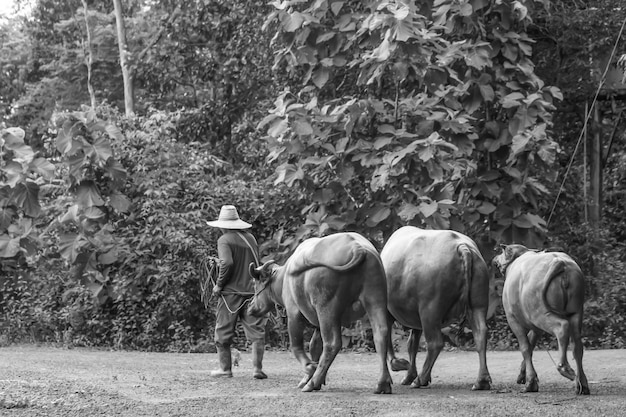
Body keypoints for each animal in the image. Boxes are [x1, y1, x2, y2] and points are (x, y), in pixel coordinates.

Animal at [247, 232, 398, 392]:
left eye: (255, 284)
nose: (250, 306)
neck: (284, 278)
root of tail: (357, 248)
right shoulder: (318, 324)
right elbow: (315, 346)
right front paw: (310, 377)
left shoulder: (293, 313)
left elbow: (296, 345)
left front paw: (310, 370)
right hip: (376, 299)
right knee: (381, 334)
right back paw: (383, 382)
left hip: (326, 308)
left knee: (332, 343)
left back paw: (313, 382)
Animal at [380, 226, 492, 388]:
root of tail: (463, 247)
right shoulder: (417, 321)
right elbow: (412, 345)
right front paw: (409, 375)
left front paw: (400, 366)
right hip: (478, 305)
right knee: (480, 335)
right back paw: (481, 381)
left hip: (429, 311)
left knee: (435, 343)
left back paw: (420, 379)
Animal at [490, 244, 588, 394]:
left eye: (501, 252)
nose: (494, 258)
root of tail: (560, 263)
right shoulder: (536, 328)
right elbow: (530, 346)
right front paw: (523, 376)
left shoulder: (513, 320)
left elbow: (525, 347)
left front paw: (531, 382)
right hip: (575, 311)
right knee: (577, 345)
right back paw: (581, 383)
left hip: (540, 314)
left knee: (561, 327)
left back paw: (564, 368)